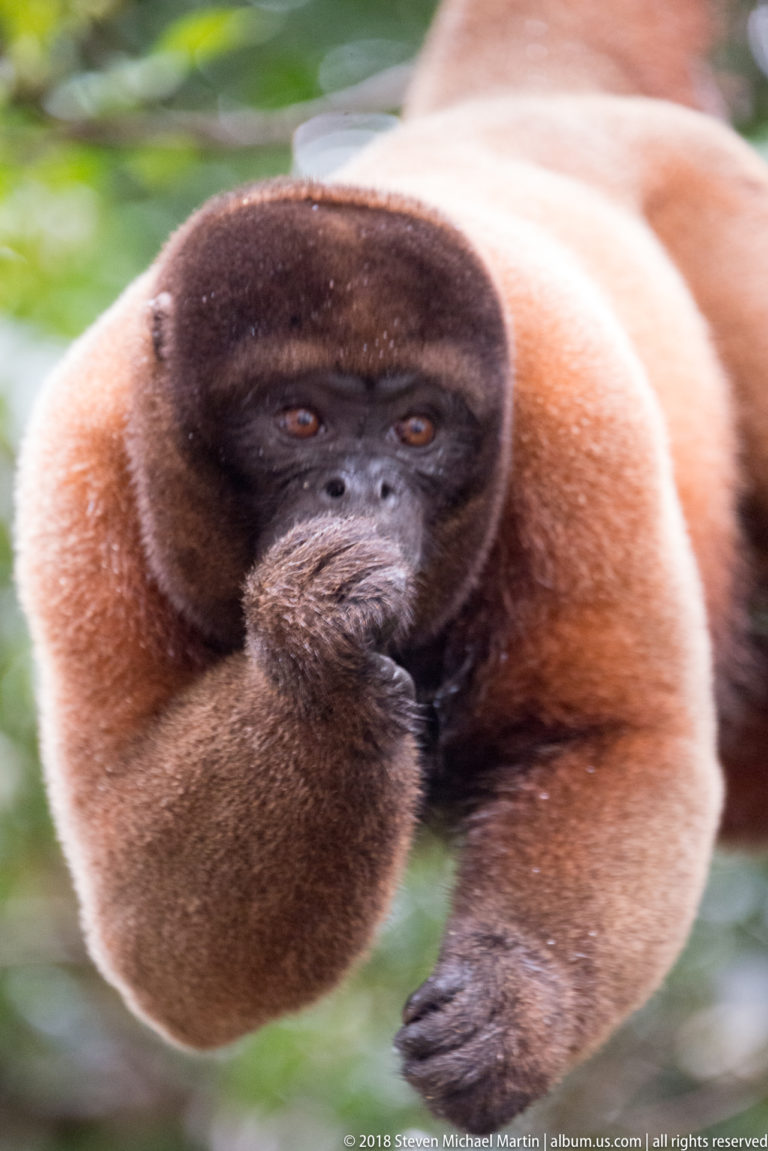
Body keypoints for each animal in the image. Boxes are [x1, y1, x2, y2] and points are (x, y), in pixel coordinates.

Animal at [14, 0, 768, 1135]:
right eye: (300, 419)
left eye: (417, 429)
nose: (361, 489)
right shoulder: (78, 460)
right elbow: (163, 958)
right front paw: (314, 641)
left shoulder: (577, 400)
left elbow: (623, 735)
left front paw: (515, 1006)